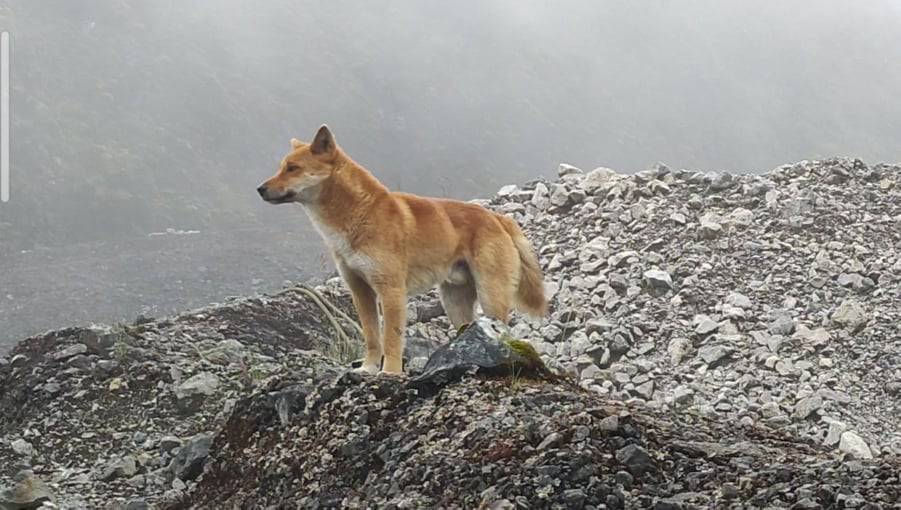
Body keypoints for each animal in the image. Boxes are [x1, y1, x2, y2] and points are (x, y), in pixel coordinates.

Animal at [256, 125, 544, 372]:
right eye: (281, 167)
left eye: (293, 168)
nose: (260, 189)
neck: (359, 215)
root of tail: (498, 218)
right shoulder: (361, 291)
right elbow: (373, 337)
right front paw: (368, 369)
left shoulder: (391, 289)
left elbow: (392, 340)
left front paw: (390, 373)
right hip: (455, 302)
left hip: (491, 296)